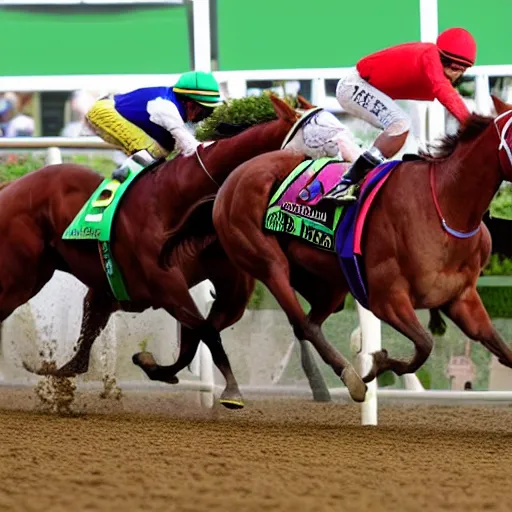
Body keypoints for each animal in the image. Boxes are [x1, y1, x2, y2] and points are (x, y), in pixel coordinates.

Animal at [0, 95, 328, 408]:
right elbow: (205, 331)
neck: (181, 199)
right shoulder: (165, 285)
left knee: (86, 335)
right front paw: (232, 391)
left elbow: (199, 334)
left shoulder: (227, 286)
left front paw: (155, 367)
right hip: (21, 276)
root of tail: (10, 186)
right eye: (321, 141)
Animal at [212, 95, 512, 400]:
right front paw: (379, 363)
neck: (447, 208)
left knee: (307, 323)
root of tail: (238, 173)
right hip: (266, 260)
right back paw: (349, 378)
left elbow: (500, 348)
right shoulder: (387, 298)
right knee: (300, 322)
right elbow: (424, 344)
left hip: (331, 285)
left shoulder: (461, 298)